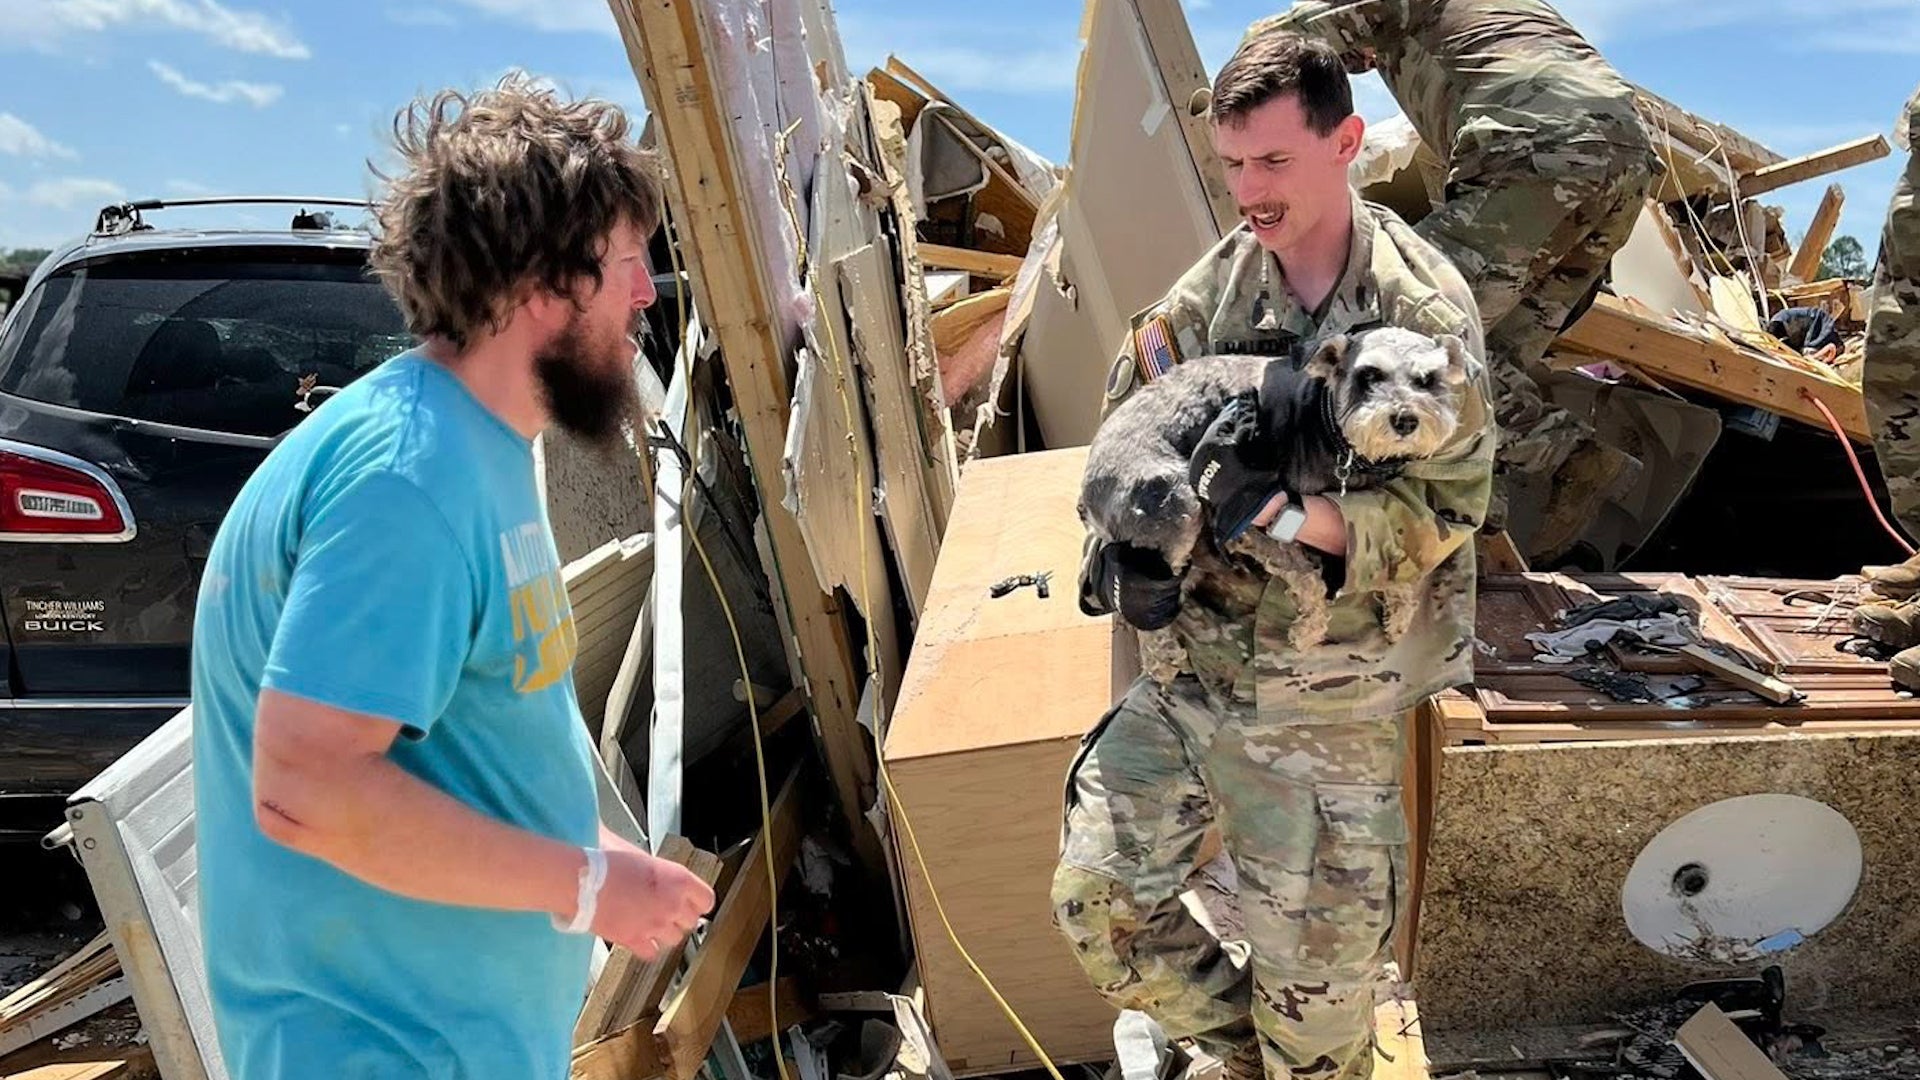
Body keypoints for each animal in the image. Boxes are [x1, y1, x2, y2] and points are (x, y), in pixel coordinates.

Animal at [1079, 326, 1468, 672]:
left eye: (1427, 379)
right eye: (1368, 375)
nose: (1405, 419)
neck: (1329, 427)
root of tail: (1088, 492)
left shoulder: (1384, 518)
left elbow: (1394, 559)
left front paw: (1399, 618)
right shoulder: (1247, 520)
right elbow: (1306, 577)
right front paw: (1307, 632)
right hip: (1178, 512)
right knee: (1147, 605)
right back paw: (1162, 660)